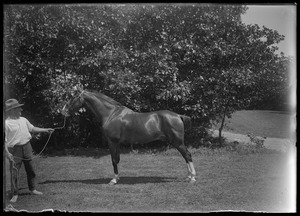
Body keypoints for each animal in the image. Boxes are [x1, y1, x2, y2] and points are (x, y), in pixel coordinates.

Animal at [61, 88, 197, 185]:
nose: (63, 110)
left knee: (187, 155)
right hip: (176, 142)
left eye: (72, 98)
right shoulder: (117, 143)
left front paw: (113, 180)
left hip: (177, 142)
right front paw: (117, 178)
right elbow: (117, 159)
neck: (111, 114)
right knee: (185, 156)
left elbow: (113, 160)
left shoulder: (112, 142)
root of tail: (178, 115)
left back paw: (192, 178)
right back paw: (188, 177)